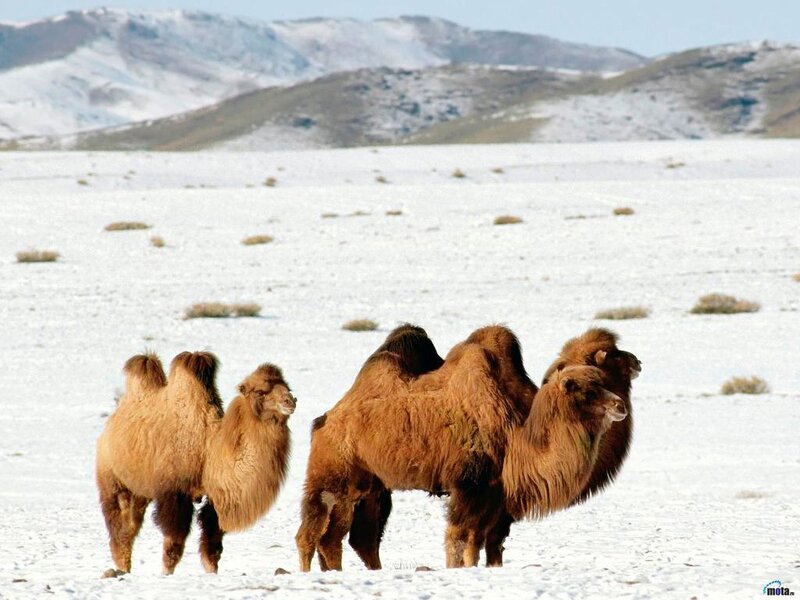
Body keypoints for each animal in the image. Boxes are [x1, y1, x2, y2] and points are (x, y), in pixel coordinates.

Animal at [96, 352, 294, 575]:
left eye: (288, 387)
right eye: (260, 391)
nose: (290, 401)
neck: (208, 450)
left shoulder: (216, 497)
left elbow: (212, 544)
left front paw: (211, 572)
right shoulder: (175, 493)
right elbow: (174, 543)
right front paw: (166, 574)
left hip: (140, 490)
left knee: (130, 526)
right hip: (112, 478)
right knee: (119, 525)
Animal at [295, 327, 625, 570]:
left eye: (603, 381)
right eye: (587, 390)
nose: (620, 405)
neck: (515, 435)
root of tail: (324, 420)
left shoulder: (493, 492)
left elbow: (478, 542)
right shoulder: (469, 484)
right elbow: (459, 538)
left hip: (370, 486)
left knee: (350, 538)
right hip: (332, 475)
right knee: (312, 534)